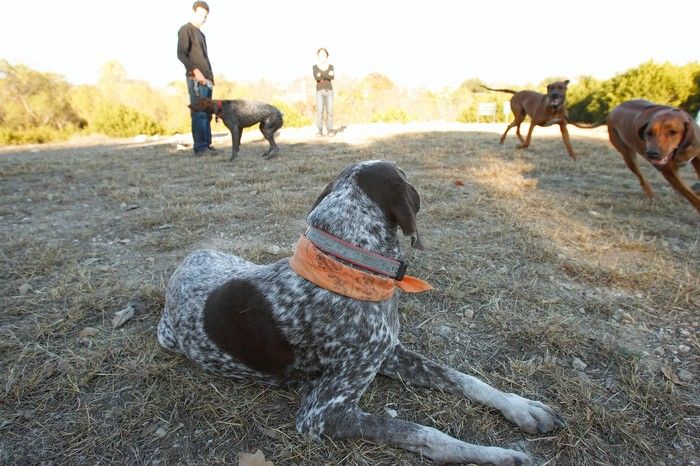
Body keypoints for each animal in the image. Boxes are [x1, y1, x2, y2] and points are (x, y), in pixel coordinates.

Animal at [159, 159, 564, 462]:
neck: (351, 265)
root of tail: (187, 261)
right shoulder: (321, 413)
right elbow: (422, 431)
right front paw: (494, 455)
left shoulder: (389, 353)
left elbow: (466, 379)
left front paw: (521, 407)